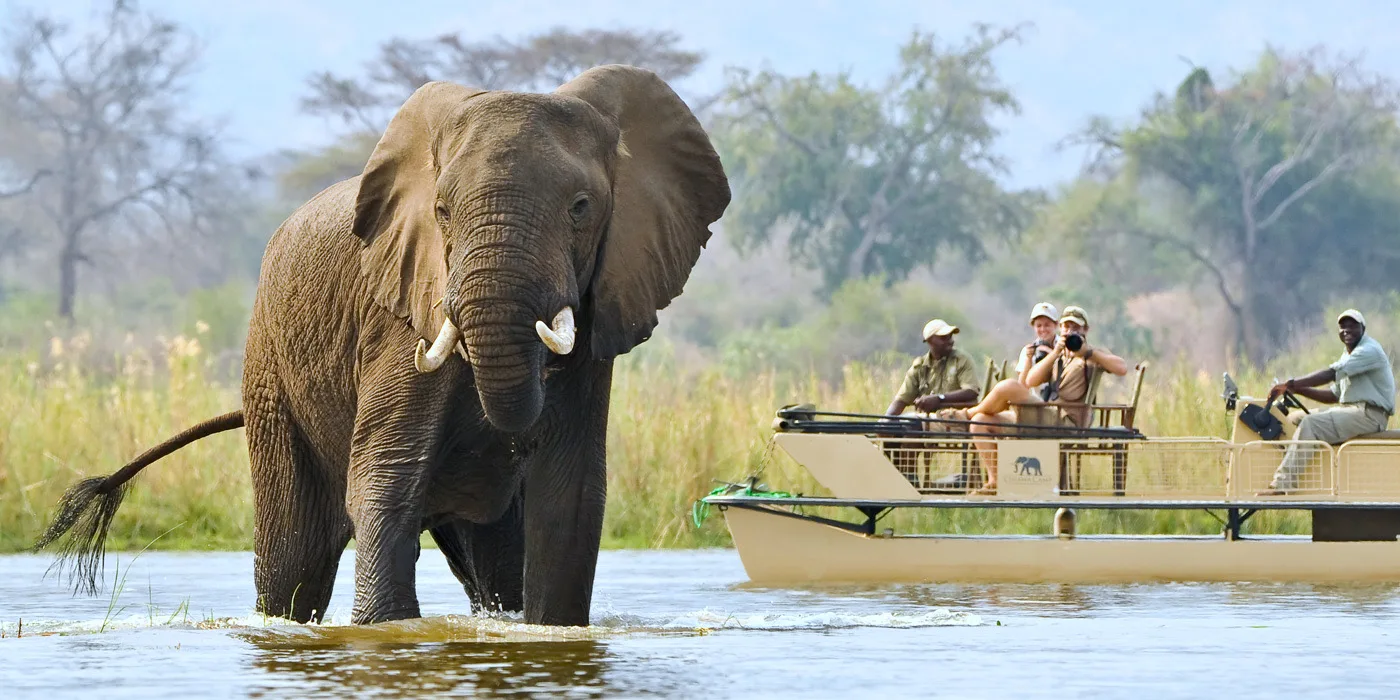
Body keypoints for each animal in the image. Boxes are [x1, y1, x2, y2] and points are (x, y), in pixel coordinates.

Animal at [33, 64, 731, 627]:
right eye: (443, 212)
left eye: (582, 208)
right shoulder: (398, 322)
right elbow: (385, 476)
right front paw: (386, 634)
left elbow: (569, 494)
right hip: (270, 376)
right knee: (295, 557)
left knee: (493, 560)